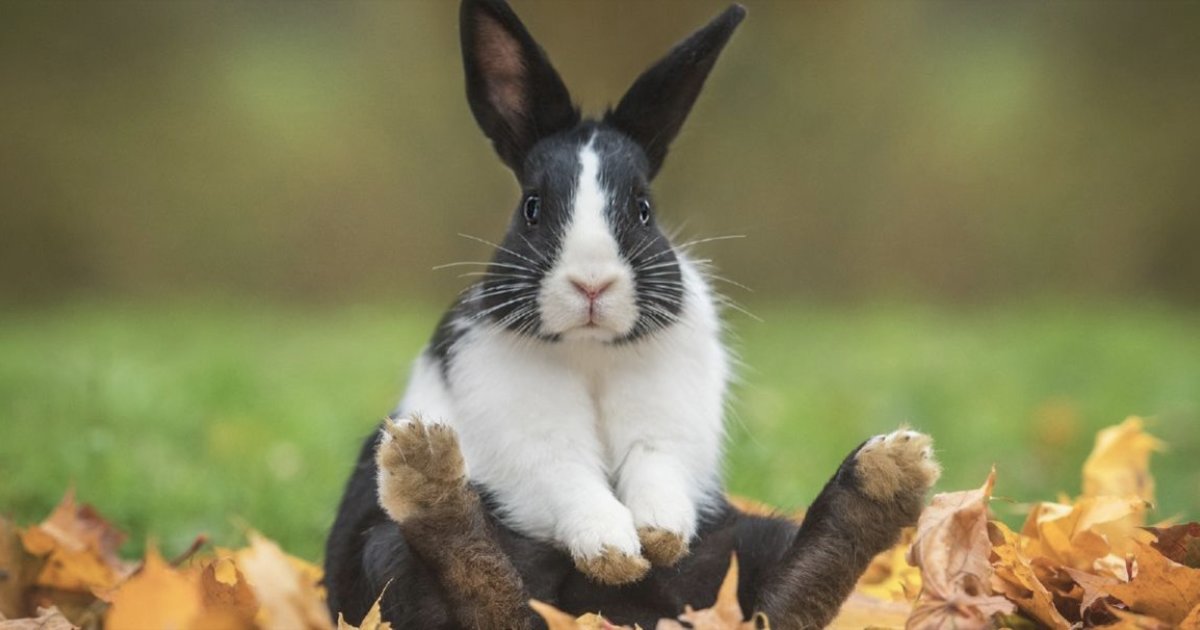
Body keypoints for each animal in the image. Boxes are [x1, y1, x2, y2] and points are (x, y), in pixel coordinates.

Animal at [324, 1, 940, 628]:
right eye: (532, 207)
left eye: (644, 209)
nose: (592, 283)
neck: (590, 349)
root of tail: (621, 615)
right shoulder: (528, 433)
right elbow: (568, 477)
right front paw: (615, 552)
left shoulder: (666, 425)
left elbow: (655, 466)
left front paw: (657, 537)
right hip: (386, 553)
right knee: (482, 593)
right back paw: (427, 472)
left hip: (746, 541)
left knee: (780, 598)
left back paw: (883, 477)